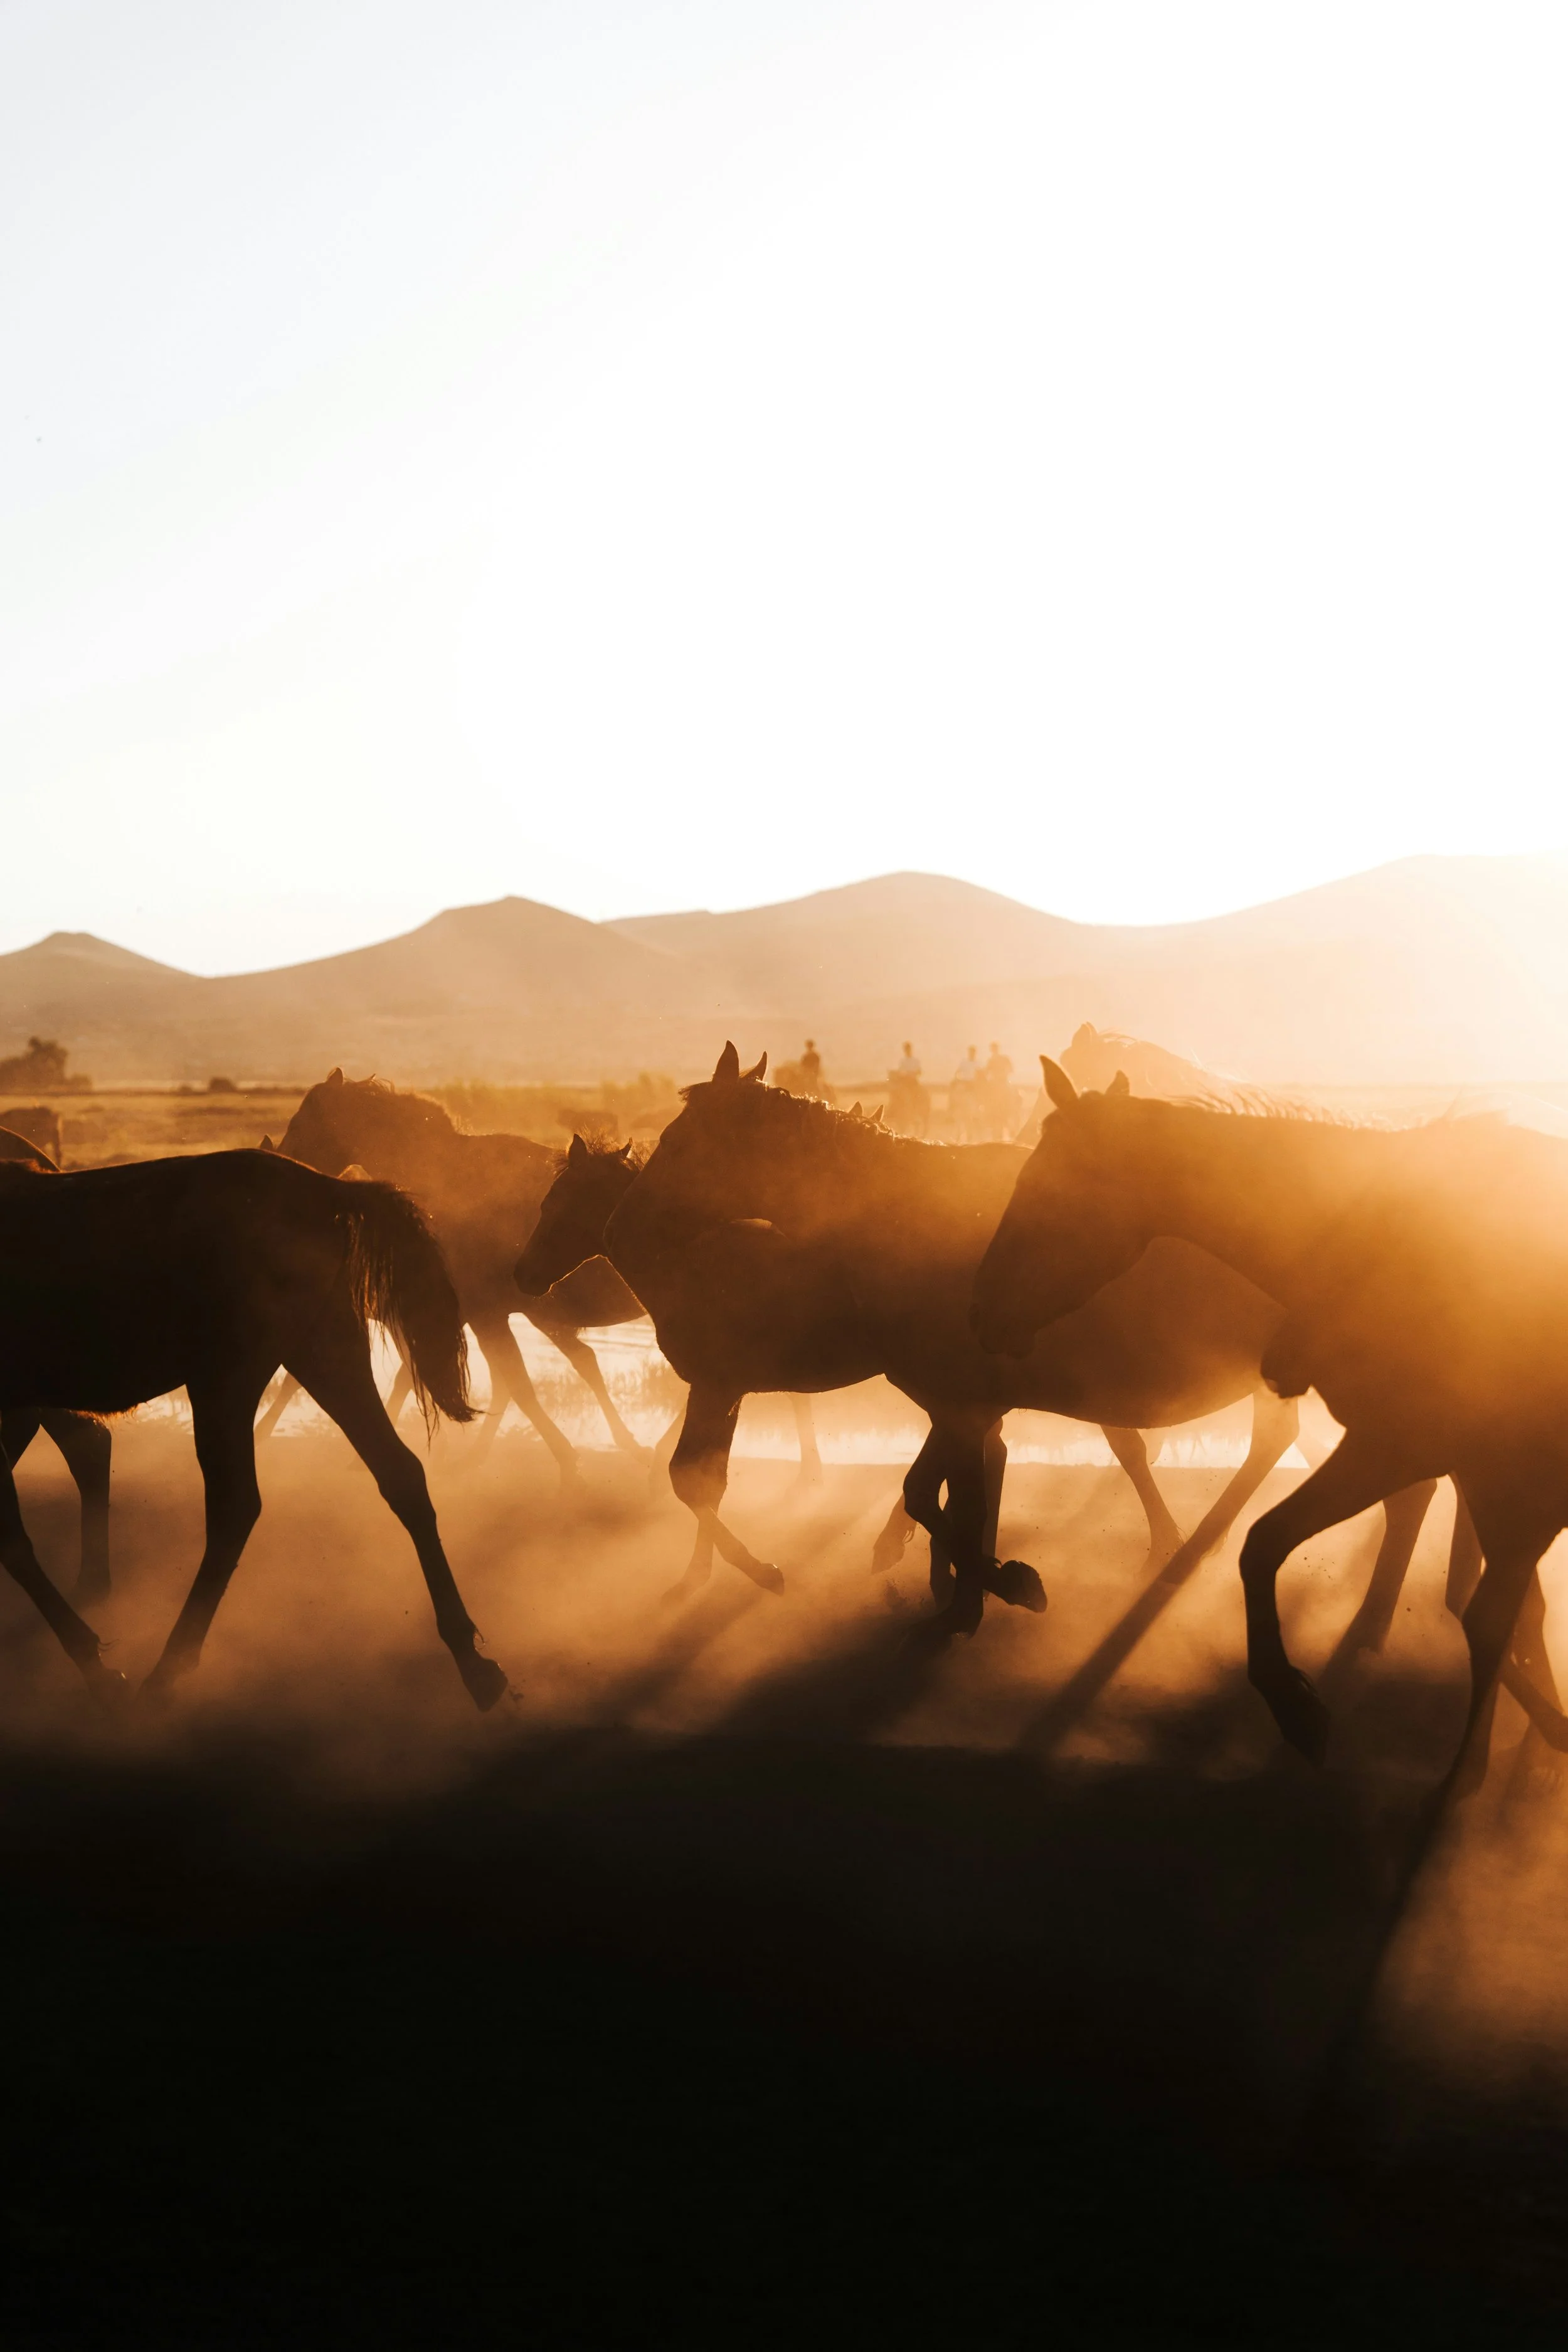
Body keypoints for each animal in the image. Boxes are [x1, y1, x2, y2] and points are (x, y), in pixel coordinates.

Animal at [0, 1149, 504, 1709]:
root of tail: (326, 1190)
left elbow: (11, 1537)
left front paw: (96, 1666)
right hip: (325, 1351)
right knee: (401, 1475)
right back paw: (472, 1659)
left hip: (225, 1379)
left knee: (233, 1507)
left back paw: (168, 1669)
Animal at [270, 1071, 650, 1484]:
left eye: (300, 1122)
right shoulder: (478, 1314)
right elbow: (501, 1383)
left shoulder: (483, 1315)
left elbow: (517, 1386)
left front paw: (569, 1463)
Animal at [575, 1043, 1333, 1639]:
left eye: (677, 1142)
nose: (619, 1231)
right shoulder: (957, 1405)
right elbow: (942, 1497)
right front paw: (964, 1594)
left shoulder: (965, 1406)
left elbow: (938, 1497)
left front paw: (997, 1586)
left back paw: (1190, 1557)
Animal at [972, 1060, 1568, 1793]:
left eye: (1043, 1188)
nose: (981, 1305)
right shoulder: (1434, 1461)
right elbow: (1267, 1545)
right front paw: (1298, 1707)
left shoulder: (1424, 1455)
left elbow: (1490, 1616)